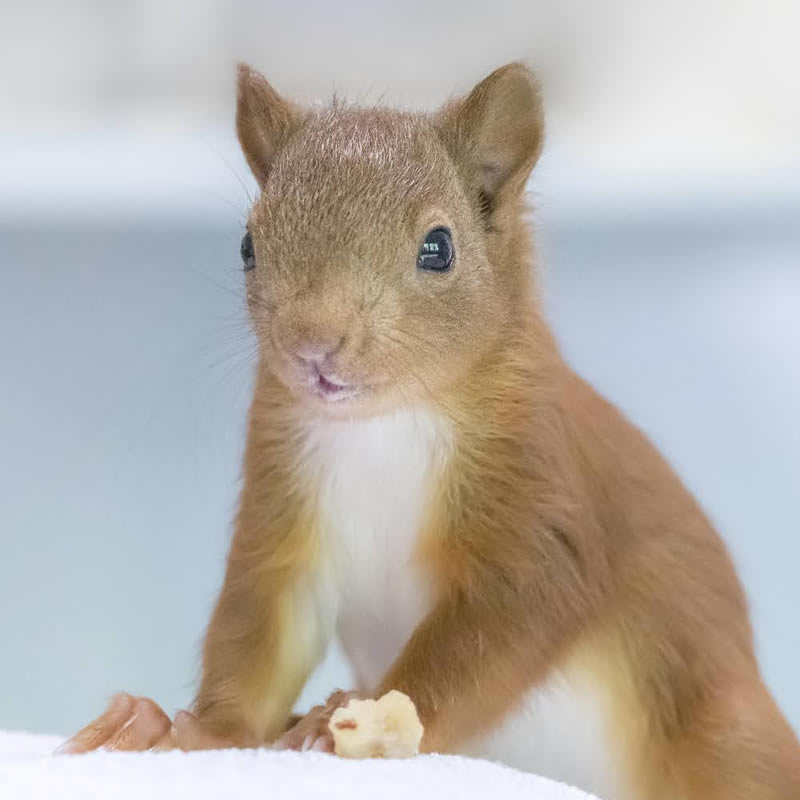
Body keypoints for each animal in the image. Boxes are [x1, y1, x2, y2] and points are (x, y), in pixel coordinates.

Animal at [62, 63, 800, 799]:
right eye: (247, 244)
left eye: (438, 248)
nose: (312, 343)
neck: (385, 422)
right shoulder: (282, 498)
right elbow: (262, 622)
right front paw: (195, 733)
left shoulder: (539, 504)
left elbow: (492, 632)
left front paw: (344, 720)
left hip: (722, 736)